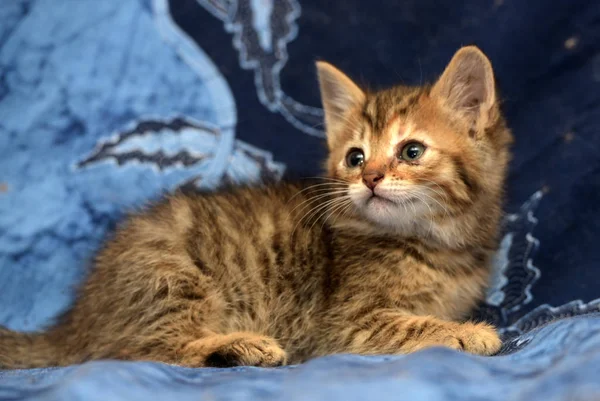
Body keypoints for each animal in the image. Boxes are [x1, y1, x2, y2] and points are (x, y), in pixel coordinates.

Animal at [0, 45, 510, 368]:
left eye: (411, 151)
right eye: (355, 157)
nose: (369, 178)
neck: (436, 243)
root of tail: (76, 319)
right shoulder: (344, 324)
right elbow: (412, 327)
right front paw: (465, 332)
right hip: (169, 276)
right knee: (130, 354)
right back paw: (237, 348)